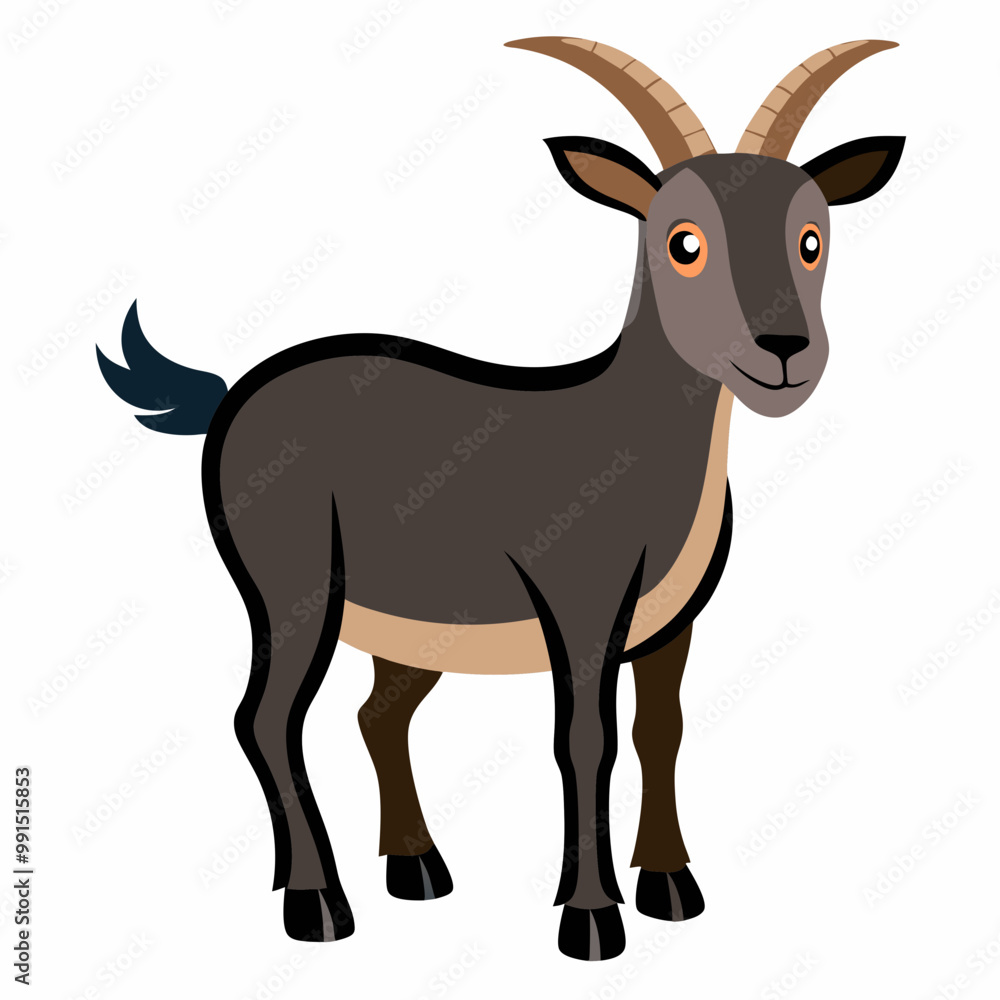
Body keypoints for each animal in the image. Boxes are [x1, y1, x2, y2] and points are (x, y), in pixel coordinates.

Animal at [97, 36, 904, 960]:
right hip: (288, 583)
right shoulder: (582, 599)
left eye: (811, 236)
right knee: (264, 718)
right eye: (683, 239)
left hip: (413, 615)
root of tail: (231, 398)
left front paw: (669, 888)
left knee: (377, 715)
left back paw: (415, 869)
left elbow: (659, 731)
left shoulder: (674, 622)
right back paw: (318, 903)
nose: (784, 349)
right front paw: (590, 919)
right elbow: (585, 740)